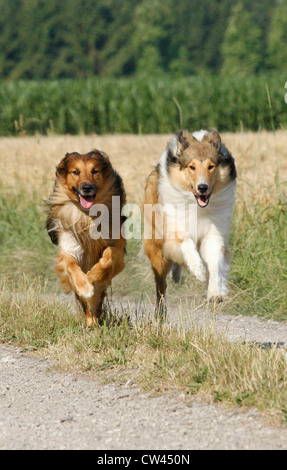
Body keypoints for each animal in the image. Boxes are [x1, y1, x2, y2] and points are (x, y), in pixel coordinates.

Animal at [45, 151, 126, 326]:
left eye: (95, 171)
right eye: (75, 172)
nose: (87, 187)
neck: (86, 215)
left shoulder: (116, 244)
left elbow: (107, 258)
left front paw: (92, 276)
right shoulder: (70, 245)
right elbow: (71, 264)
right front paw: (85, 285)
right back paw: (90, 320)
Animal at [145, 129, 237, 312]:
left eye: (211, 166)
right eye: (192, 167)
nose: (202, 187)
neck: (197, 206)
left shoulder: (214, 233)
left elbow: (216, 262)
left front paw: (215, 292)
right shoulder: (174, 228)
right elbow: (186, 243)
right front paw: (199, 270)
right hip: (156, 247)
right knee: (161, 284)